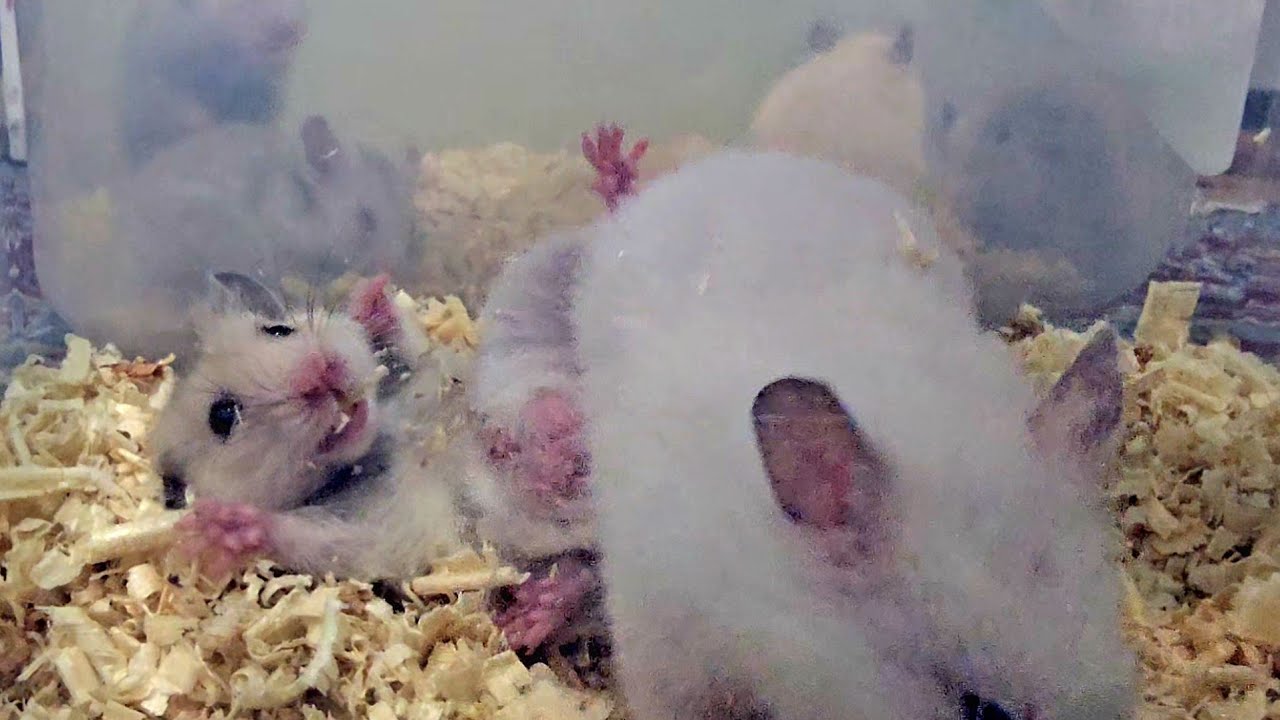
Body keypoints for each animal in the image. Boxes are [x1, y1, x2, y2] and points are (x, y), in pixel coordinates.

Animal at [149, 271, 466, 579]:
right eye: (222, 416)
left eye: (278, 329)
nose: (316, 373)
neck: (376, 445)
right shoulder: (392, 528)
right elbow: (325, 539)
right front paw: (218, 528)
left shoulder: (428, 371)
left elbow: (414, 347)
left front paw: (370, 291)